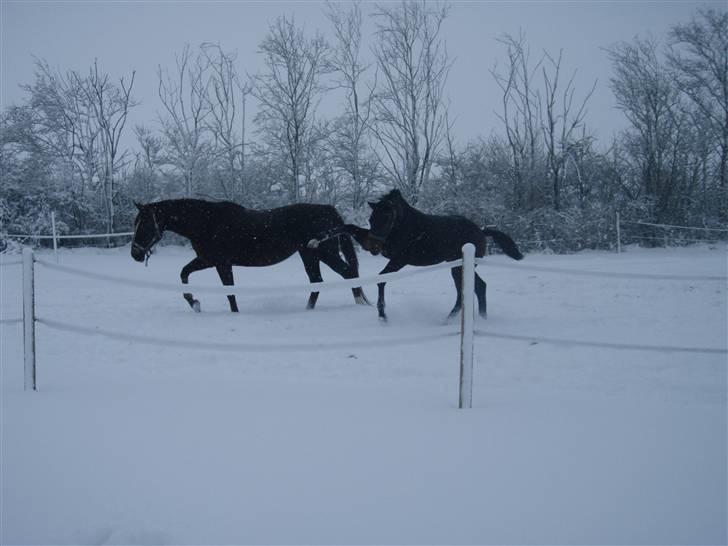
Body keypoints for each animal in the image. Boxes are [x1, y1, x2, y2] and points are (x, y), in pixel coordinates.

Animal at [129, 199, 370, 310]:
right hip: (309, 254)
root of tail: (328, 209)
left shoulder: (219, 262)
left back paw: (360, 303)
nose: (135, 254)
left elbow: (229, 292)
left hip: (324, 253)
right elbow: (184, 274)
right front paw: (194, 302)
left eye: (145, 225)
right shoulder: (209, 261)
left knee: (347, 272)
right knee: (317, 280)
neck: (207, 222)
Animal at [308, 190, 524, 320]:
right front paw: (315, 240)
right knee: (479, 286)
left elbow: (381, 279)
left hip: (457, 267)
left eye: (387, 218)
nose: (375, 247)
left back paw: (452, 319)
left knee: (468, 289)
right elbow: (348, 226)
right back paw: (476, 317)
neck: (404, 227)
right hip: (458, 266)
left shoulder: (399, 260)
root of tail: (481, 231)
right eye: (371, 219)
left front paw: (382, 315)